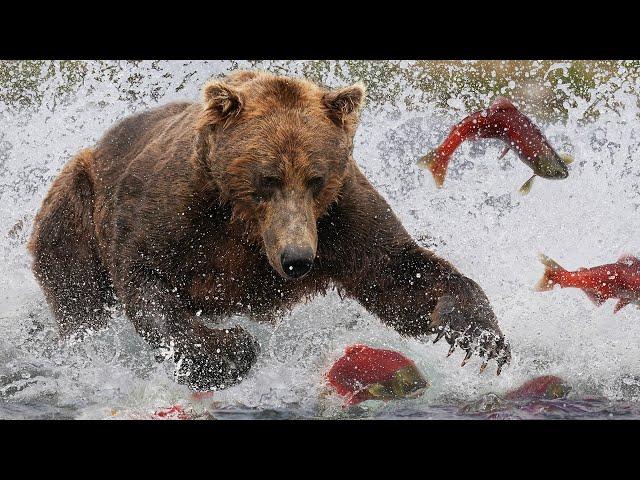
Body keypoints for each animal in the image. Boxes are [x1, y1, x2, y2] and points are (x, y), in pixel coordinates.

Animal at [28, 70, 510, 390]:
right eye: (268, 177)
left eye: (315, 178)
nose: (297, 260)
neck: (243, 223)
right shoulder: (173, 209)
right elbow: (147, 281)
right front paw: (230, 350)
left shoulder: (339, 215)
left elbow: (395, 271)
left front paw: (479, 335)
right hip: (75, 202)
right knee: (77, 290)